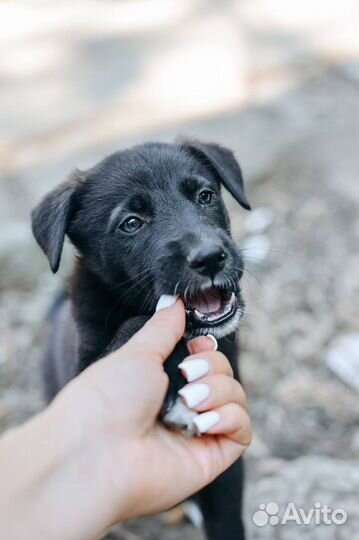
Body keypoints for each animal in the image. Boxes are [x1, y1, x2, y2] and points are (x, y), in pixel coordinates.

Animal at [31, 139, 250, 540]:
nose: (210, 257)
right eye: (131, 223)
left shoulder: (228, 474)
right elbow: (136, 325)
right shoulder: (82, 372)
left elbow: (226, 519)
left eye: (205, 196)